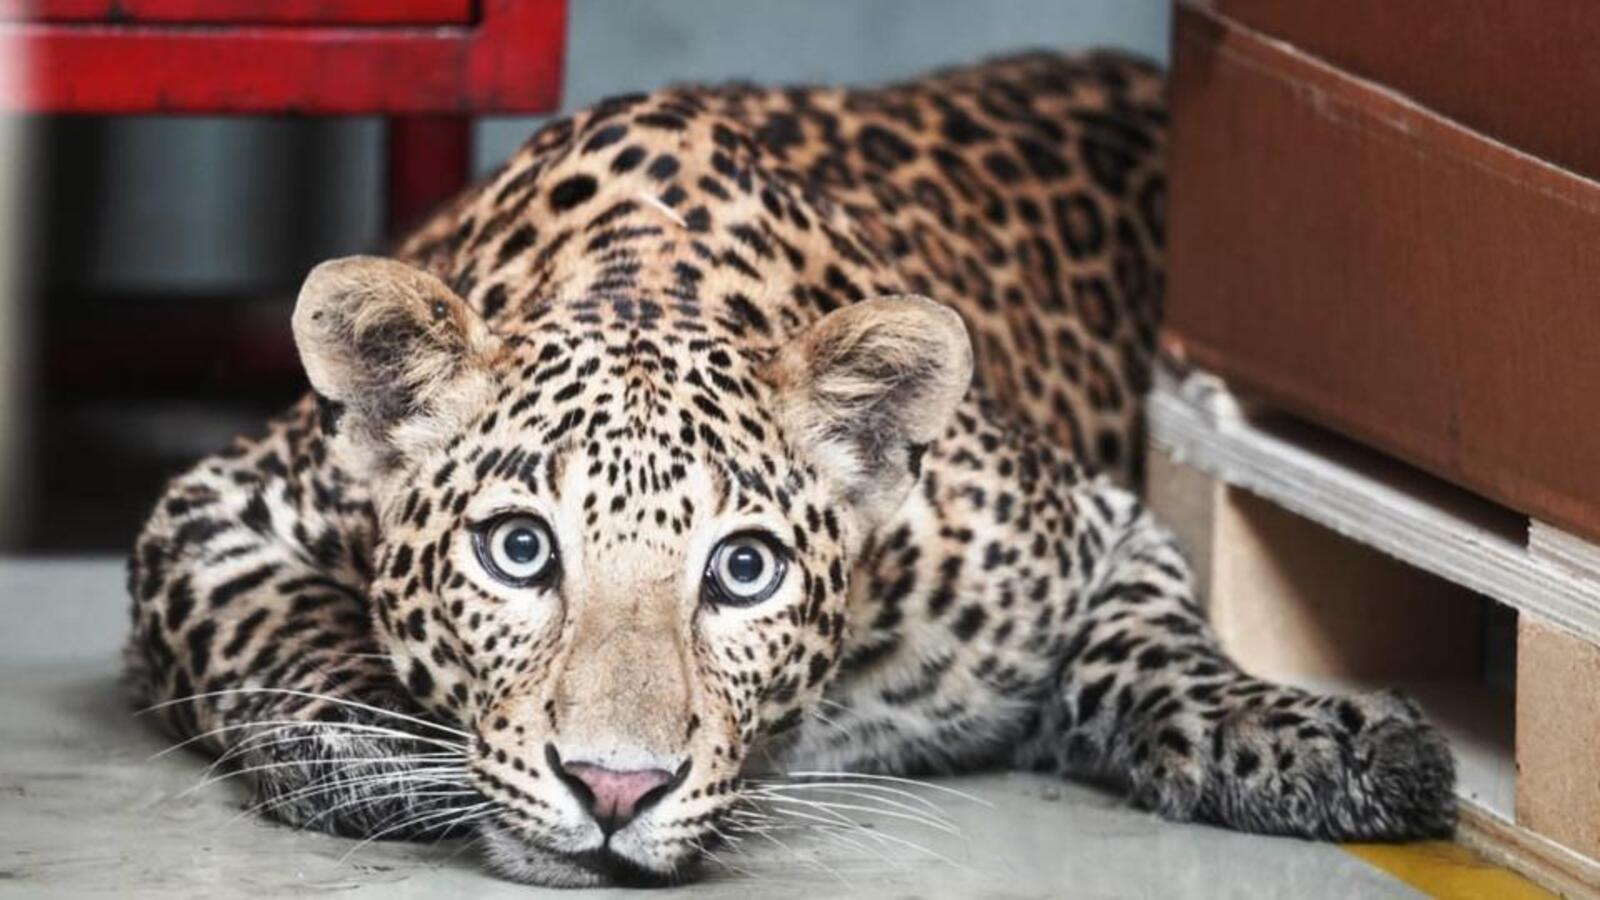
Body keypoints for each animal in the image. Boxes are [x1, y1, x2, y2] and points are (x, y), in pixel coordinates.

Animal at [125, 50, 1456, 888]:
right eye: (518, 550)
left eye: (744, 572)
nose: (614, 789)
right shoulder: (210, 517)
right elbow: (281, 631)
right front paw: (389, 752)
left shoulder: (1098, 532)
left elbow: (1163, 652)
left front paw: (1320, 742)